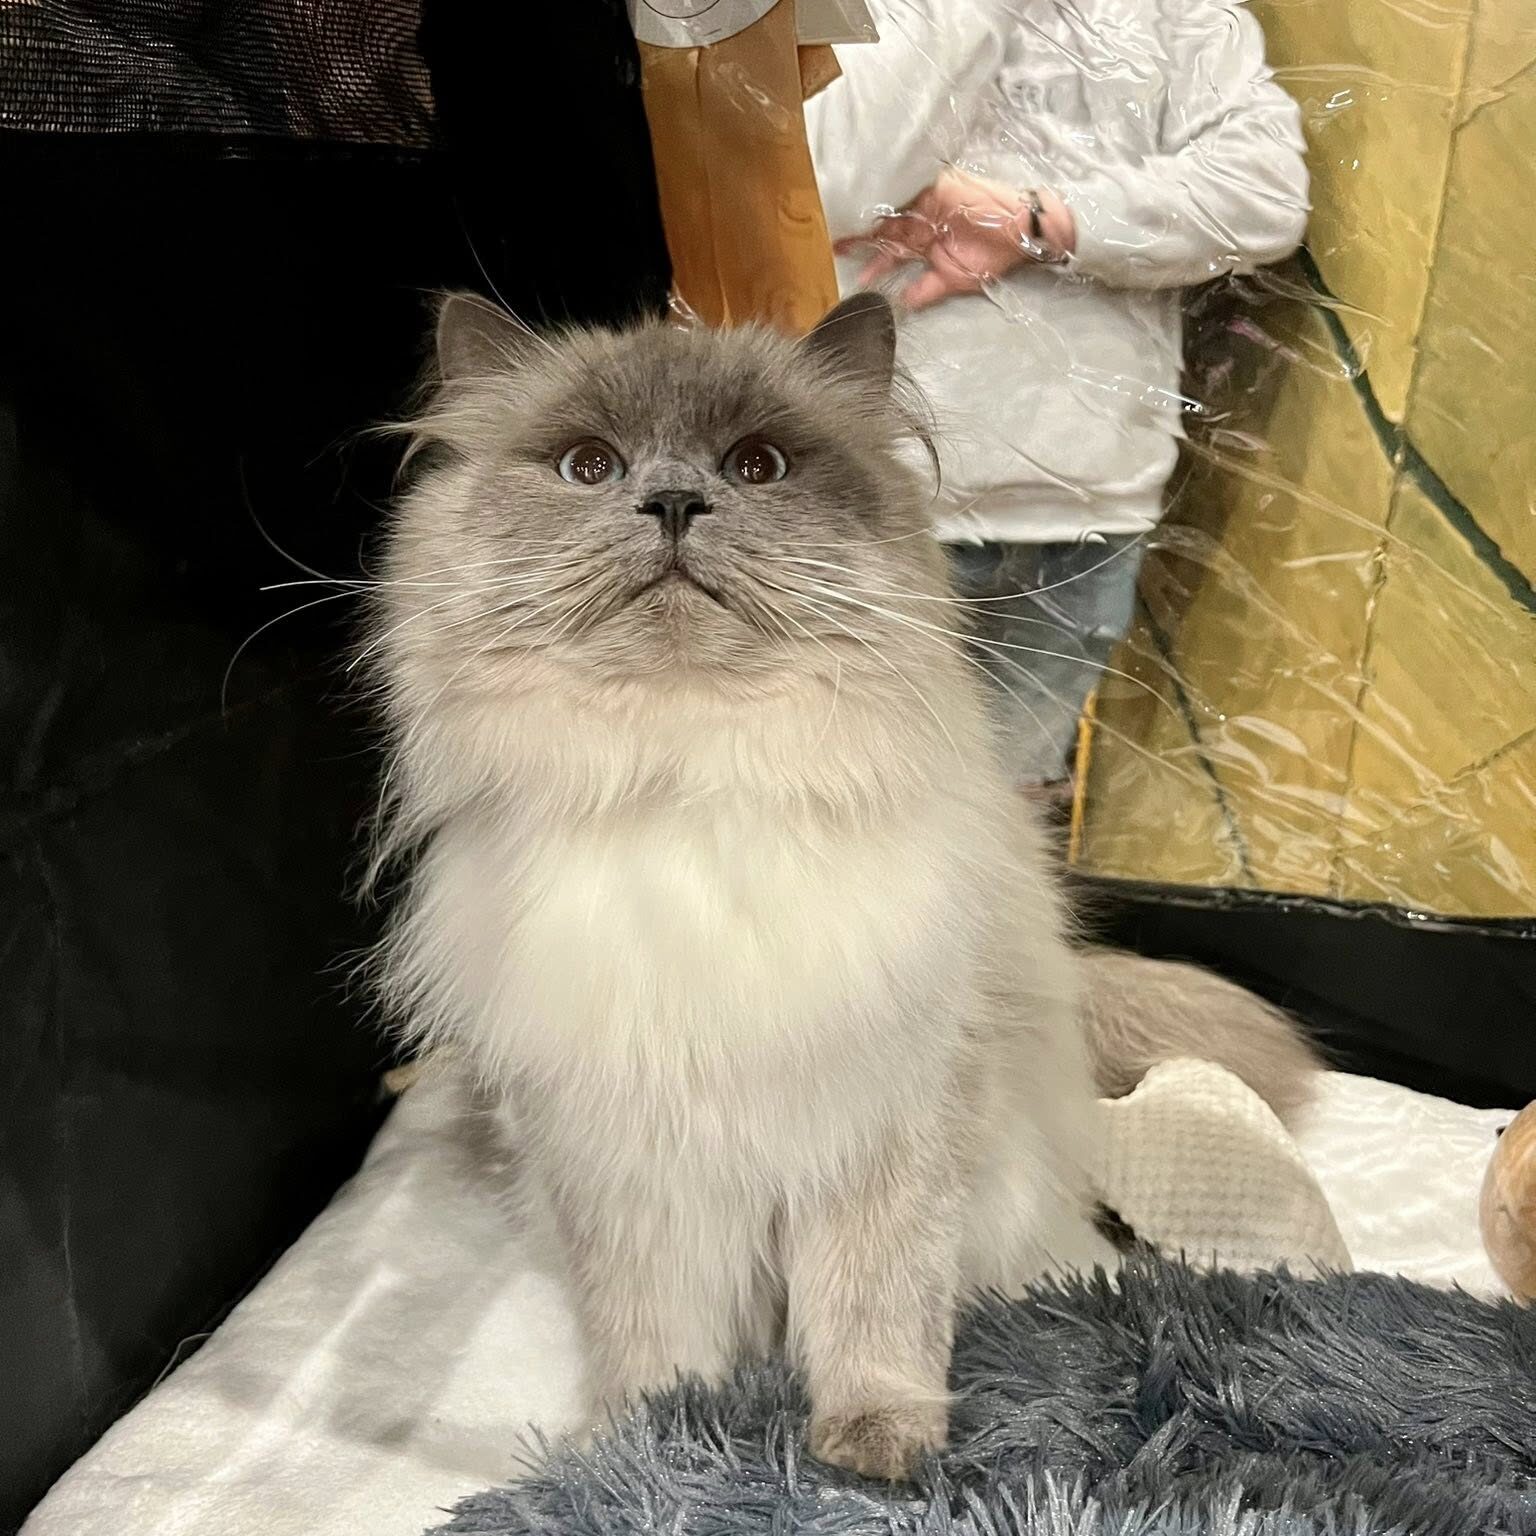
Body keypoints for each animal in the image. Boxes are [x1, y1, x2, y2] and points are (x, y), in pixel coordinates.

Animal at [366, 290, 1317, 1481]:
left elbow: (873, 1313)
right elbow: (652, 1334)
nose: (672, 501)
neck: (691, 781)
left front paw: (876, 1445)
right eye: (589, 467)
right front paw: (648, 1442)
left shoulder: (880, 1131)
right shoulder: (629, 1162)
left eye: (758, 465)